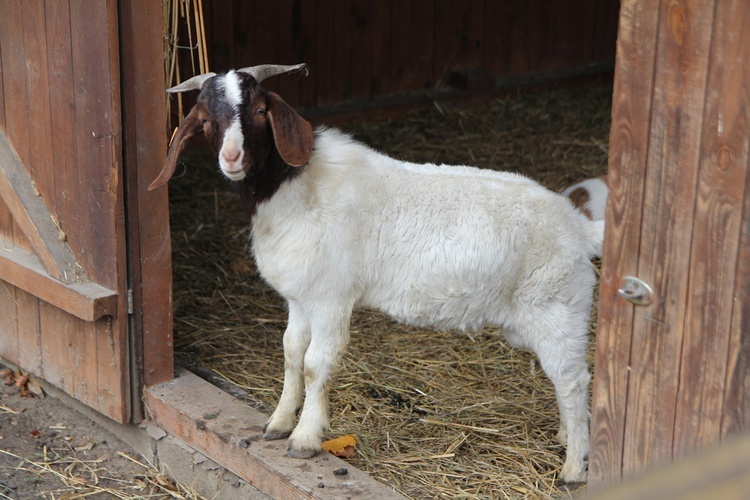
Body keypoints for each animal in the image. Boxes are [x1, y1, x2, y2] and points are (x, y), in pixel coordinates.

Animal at [151, 63, 604, 484]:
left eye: (261, 110)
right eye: (205, 119)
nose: (231, 158)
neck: (298, 186)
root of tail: (579, 228)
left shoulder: (331, 298)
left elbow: (316, 362)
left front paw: (305, 438)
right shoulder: (301, 297)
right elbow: (291, 351)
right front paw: (278, 422)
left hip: (558, 308)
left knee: (574, 380)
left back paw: (573, 469)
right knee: (565, 381)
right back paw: (567, 439)